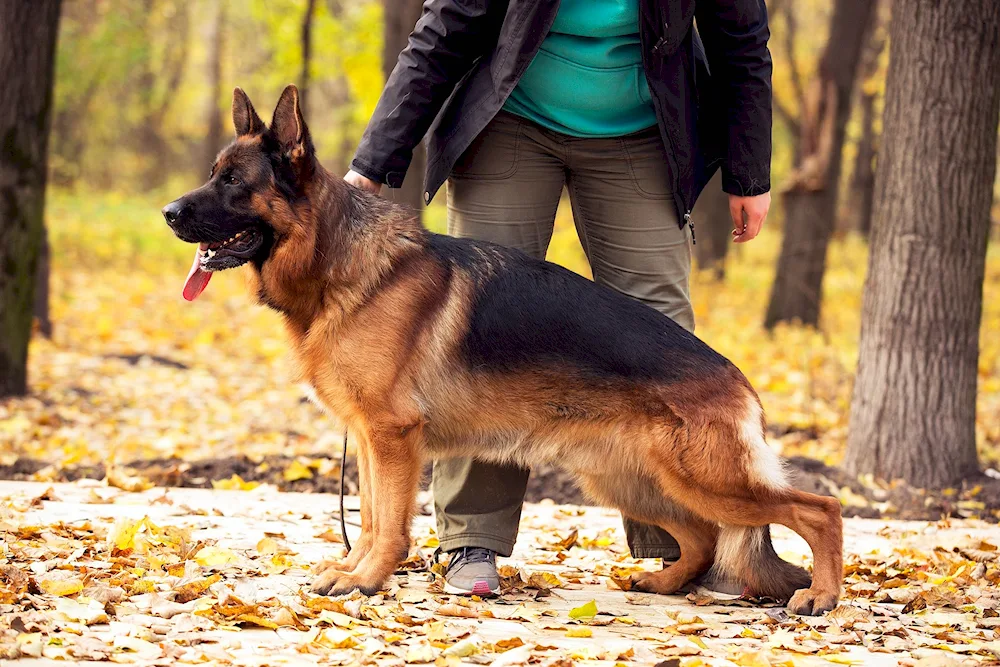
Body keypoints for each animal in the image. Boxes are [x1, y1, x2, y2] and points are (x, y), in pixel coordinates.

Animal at [164, 87, 844, 616]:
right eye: (214, 173)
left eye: (232, 182)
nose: (168, 212)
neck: (340, 260)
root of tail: (738, 379)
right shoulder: (368, 438)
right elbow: (370, 517)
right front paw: (354, 570)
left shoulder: (391, 437)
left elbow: (388, 524)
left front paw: (367, 580)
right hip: (629, 478)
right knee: (702, 537)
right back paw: (666, 582)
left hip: (704, 478)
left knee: (821, 509)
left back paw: (821, 595)